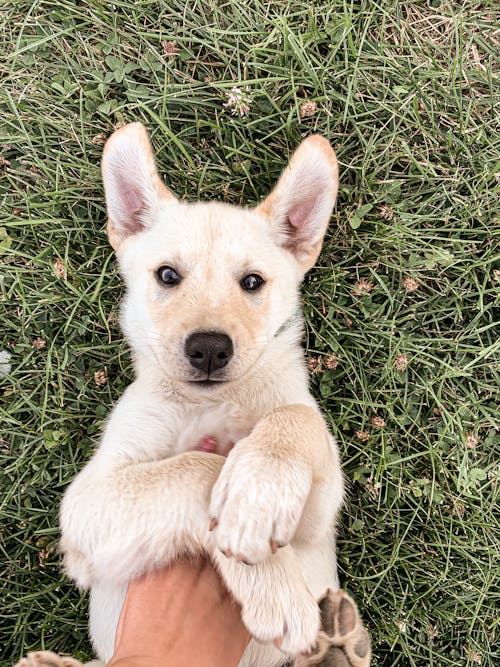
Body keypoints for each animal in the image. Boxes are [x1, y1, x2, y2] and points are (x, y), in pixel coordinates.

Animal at [15, 125, 370, 667]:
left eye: (252, 282)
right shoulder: (89, 504)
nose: (208, 349)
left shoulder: (316, 518)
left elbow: (295, 420)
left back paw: (337, 642)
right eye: (167, 275)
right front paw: (274, 583)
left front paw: (257, 493)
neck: (210, 404)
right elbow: (196, 467)